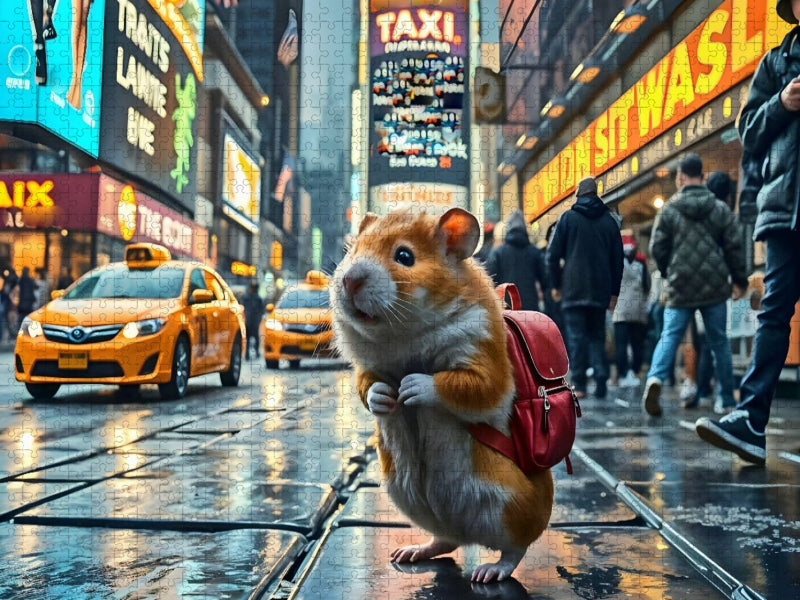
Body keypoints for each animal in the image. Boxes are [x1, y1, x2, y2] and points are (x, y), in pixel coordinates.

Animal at [330, 207, 554, 583]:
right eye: (353, 250)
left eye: (405, 256)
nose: (349, 280)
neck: (403, 337)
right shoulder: (368, 367)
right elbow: (367, 384)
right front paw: (385, 397)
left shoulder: (484, 357)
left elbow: (469, 386)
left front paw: (412, 387)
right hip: (407, 494)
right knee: (446, 540)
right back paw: (411, 552)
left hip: (509, 503)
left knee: (516, 548)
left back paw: (489, 572)